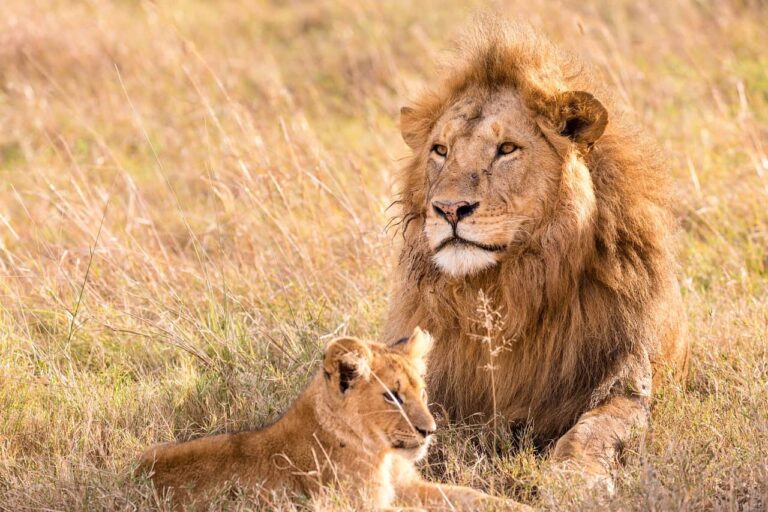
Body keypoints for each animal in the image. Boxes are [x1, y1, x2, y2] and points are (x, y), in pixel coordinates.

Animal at [138, 328, 527, 510]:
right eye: (392, 396)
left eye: (422, 391)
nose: (429, 431)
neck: (383, 455)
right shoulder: (356, 505)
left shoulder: (409, 487)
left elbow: (474, 497)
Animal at [382, 21, 689, 490]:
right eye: (440, 150)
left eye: (507, 149)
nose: (449, 209)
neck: (505, 289)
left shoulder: (625, 382)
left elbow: (593, 430)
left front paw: (574, 479)